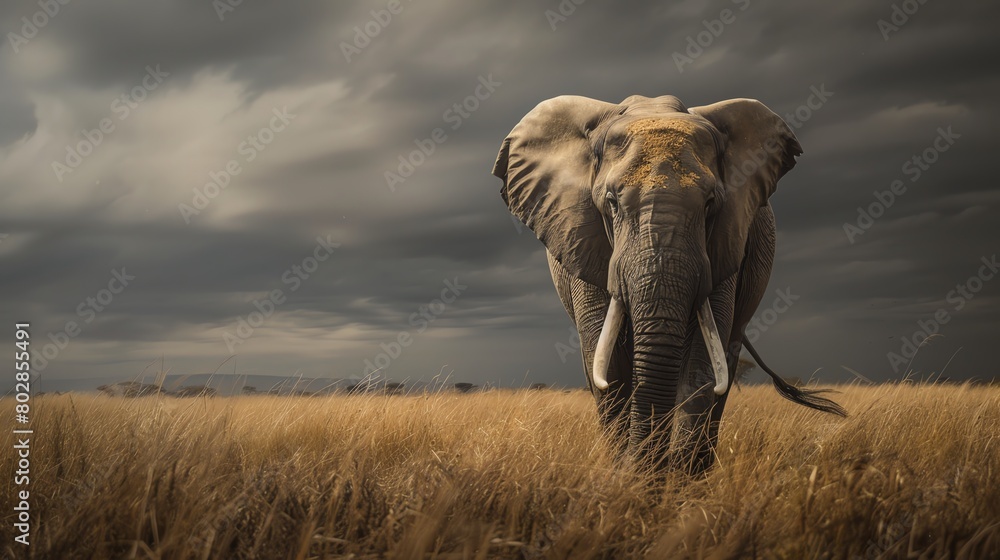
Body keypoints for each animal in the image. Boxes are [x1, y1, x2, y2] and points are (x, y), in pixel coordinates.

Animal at [492, 94, 845, 474]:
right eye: (611, 202)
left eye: (710, 204)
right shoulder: (581, 241)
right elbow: (608, 367)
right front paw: (630, 477)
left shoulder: (724, 244)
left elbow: (702, 365)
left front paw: (674, 482)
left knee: (726, 360)